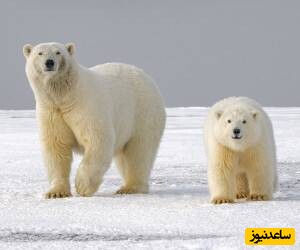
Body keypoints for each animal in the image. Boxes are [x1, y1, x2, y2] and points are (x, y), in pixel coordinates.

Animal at [23, 43, 166, 199]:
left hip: (142, 113)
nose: (49, 62)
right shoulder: (51, 111)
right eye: (40, 53)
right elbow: (56, 147)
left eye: (58, 52)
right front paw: (56, 192)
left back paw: (130, 188)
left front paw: (82, 186)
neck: (66, 97)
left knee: (139, 151)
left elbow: (97, 139)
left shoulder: (86, 106)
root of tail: (146, 76)